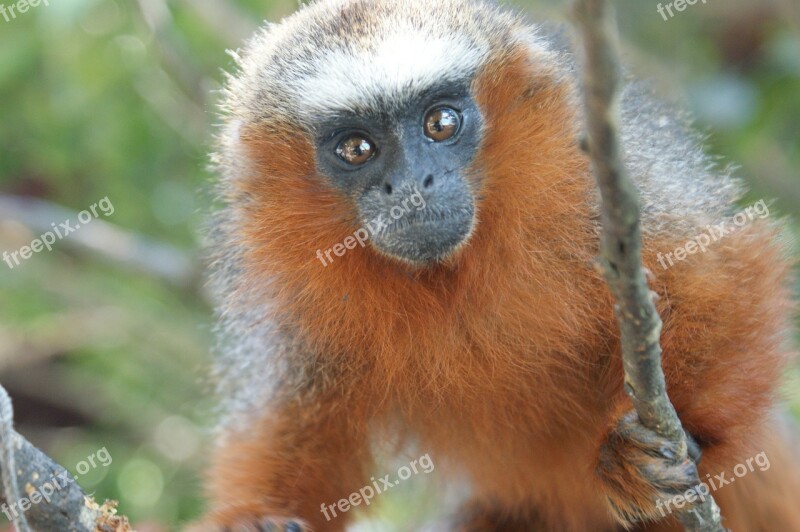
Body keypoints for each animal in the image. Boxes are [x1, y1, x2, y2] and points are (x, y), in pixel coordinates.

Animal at [194, 0, 800, 528]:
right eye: (356, 149)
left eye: (440, 123)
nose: (412, 186)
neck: (453, 270)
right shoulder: (291, 302)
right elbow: (291, 414)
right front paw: (256, 519)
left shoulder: (603, 178)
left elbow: (720, 271)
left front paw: (647, 454)